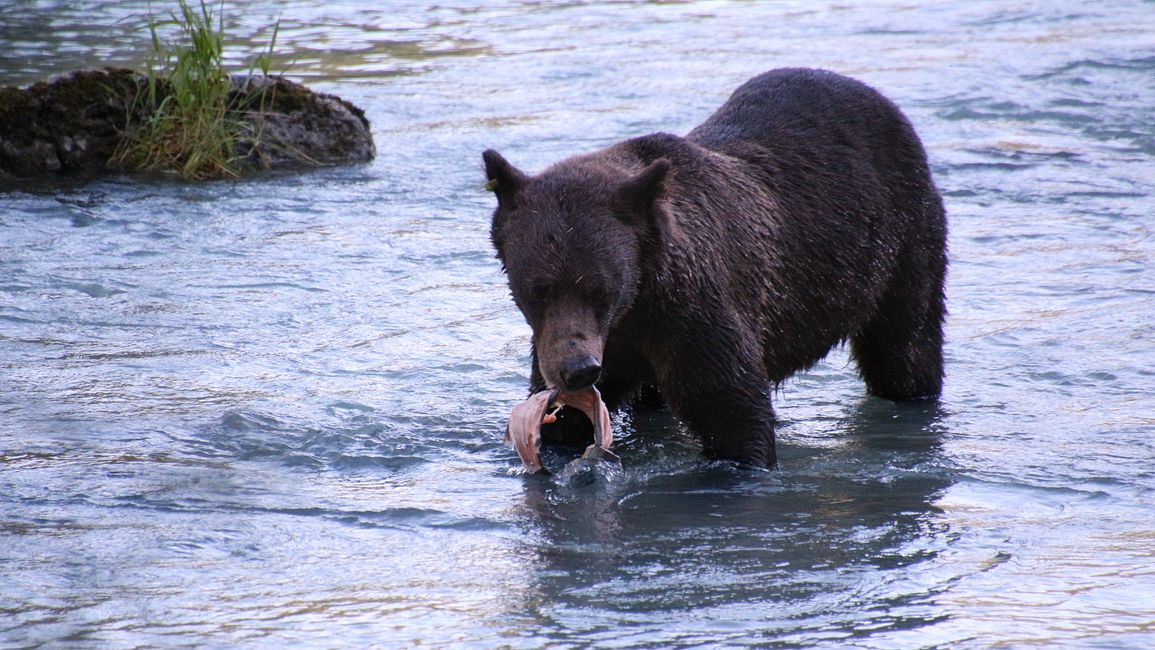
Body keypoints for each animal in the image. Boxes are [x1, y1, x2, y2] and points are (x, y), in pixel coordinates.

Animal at [482, 68, 942, 471]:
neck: (639, 302)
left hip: (902, 240)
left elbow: (732, 409)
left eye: (602, 289)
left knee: (907, 343)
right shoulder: (600, 341)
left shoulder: (693, 315)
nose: (578, 369)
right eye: (538, 289)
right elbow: (568, 420)